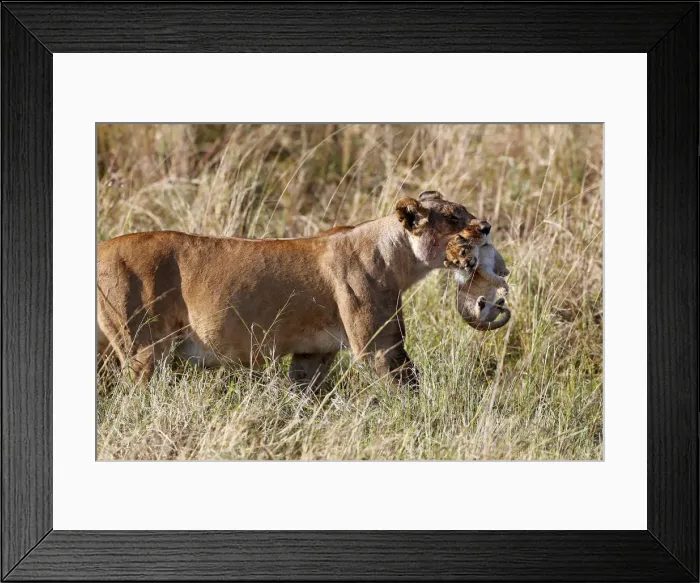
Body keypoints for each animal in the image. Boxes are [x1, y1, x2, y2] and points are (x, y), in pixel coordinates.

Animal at [97, 191, 475, 387]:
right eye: (453, 218)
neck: (397, 256)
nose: (484, 226)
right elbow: (408, 388)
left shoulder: (313, 353)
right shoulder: (379, 348)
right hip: (143, 349)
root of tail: (101, 247)